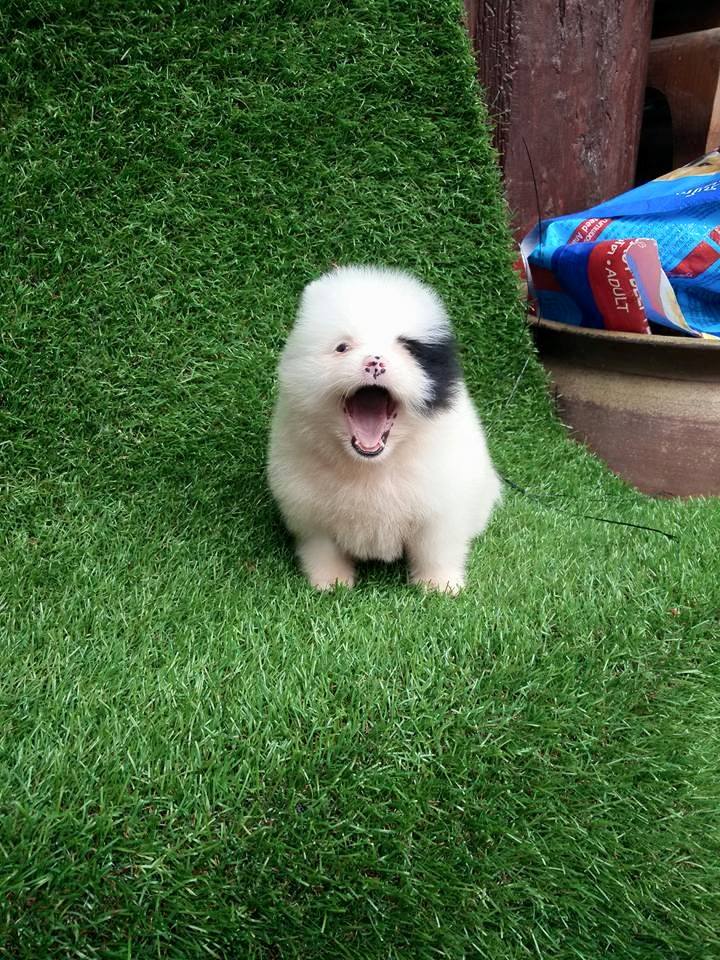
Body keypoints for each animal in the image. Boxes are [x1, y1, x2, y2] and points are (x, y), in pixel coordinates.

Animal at [267, 265, 501, 593]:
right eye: (342, 347)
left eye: (407, 349)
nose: (375, 362)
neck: (372, 467)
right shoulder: (311, 514)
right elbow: (323, 549)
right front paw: (330, 582)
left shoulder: (440, 509)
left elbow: (436, 549)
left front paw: (439, 586)